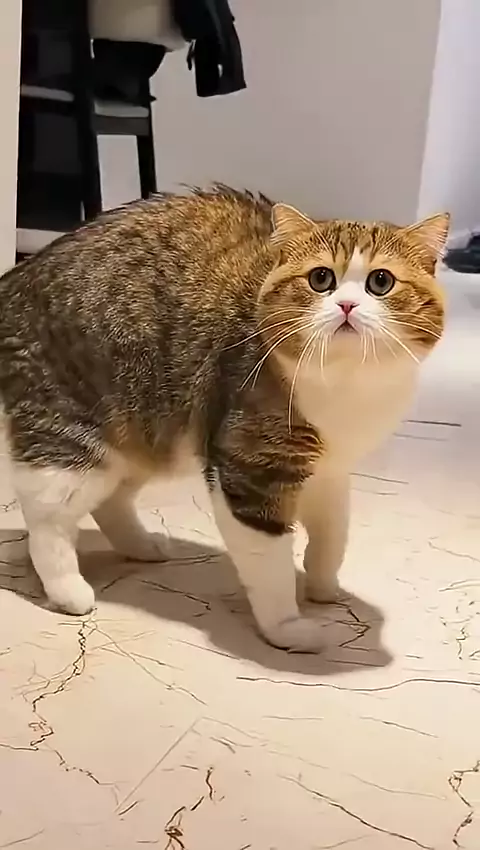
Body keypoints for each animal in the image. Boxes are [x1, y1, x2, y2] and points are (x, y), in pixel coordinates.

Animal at [0, 187, 448, 651]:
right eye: (321, 279)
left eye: (381, 282)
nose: (346, 305)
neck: (347, 384)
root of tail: (17, 275)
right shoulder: (250, 470)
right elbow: (270, 566)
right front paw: (287, 628)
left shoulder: (330, 471)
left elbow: (332, 537)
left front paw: (324, 588)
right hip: (76, 440)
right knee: (47, 518)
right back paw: (68, 591)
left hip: (143, 435)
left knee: (110, 502)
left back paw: (142, 547)